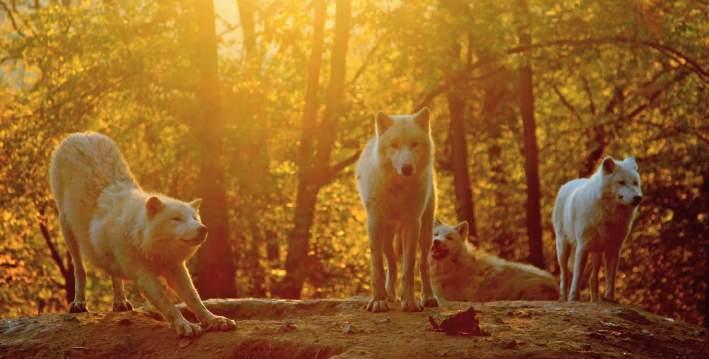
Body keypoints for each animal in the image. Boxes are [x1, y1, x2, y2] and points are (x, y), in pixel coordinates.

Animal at [51, 132, 238, 338]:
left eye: (194, 218)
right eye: (176, 219)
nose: (203, 228)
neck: (146, 242)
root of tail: (81, 135)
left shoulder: (176, 268)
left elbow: (194, 298)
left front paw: (214, 320)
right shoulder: (144, 275)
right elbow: (167, 304)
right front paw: (184, 325)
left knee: (114, 275)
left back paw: (120, 303)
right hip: (67, 230)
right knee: (79, 269)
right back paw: (78, 303)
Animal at [356, 107, 440, 312]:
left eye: (414, 144)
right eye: (394, 145)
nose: (407, 168)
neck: (398, 189)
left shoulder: (412, 224)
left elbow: (409, 267)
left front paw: (409, 301)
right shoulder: (374, 223)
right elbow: (378, 266)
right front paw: (378, 300)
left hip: (426, 231)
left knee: (423, 264)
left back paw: (428, 297)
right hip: (387, 235)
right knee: (392, 263)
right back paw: (390, 295)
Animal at [552, 158, 640, 304]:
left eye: (635, 183)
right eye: (621, 182)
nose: (638, 197)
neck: (609, 214)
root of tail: (566, 185)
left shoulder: (613, 249)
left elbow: (611, 279)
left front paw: (610, 299)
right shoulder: (582, 247)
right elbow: (577, 276)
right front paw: (573, 299)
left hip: (597, 252)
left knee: (592, 278)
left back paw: (595, 300)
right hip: (563, 248)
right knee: (565, 275)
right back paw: (563, 298)